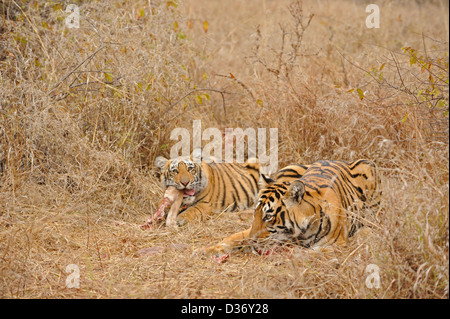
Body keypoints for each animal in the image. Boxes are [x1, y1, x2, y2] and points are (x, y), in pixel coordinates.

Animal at [202, 160, 382, 258]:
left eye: (268, 216)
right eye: (256, 213)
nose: (253, 240)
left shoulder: (336, 245)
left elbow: (307, 254)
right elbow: (233, 237)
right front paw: (207, 250)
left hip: (369, 169)